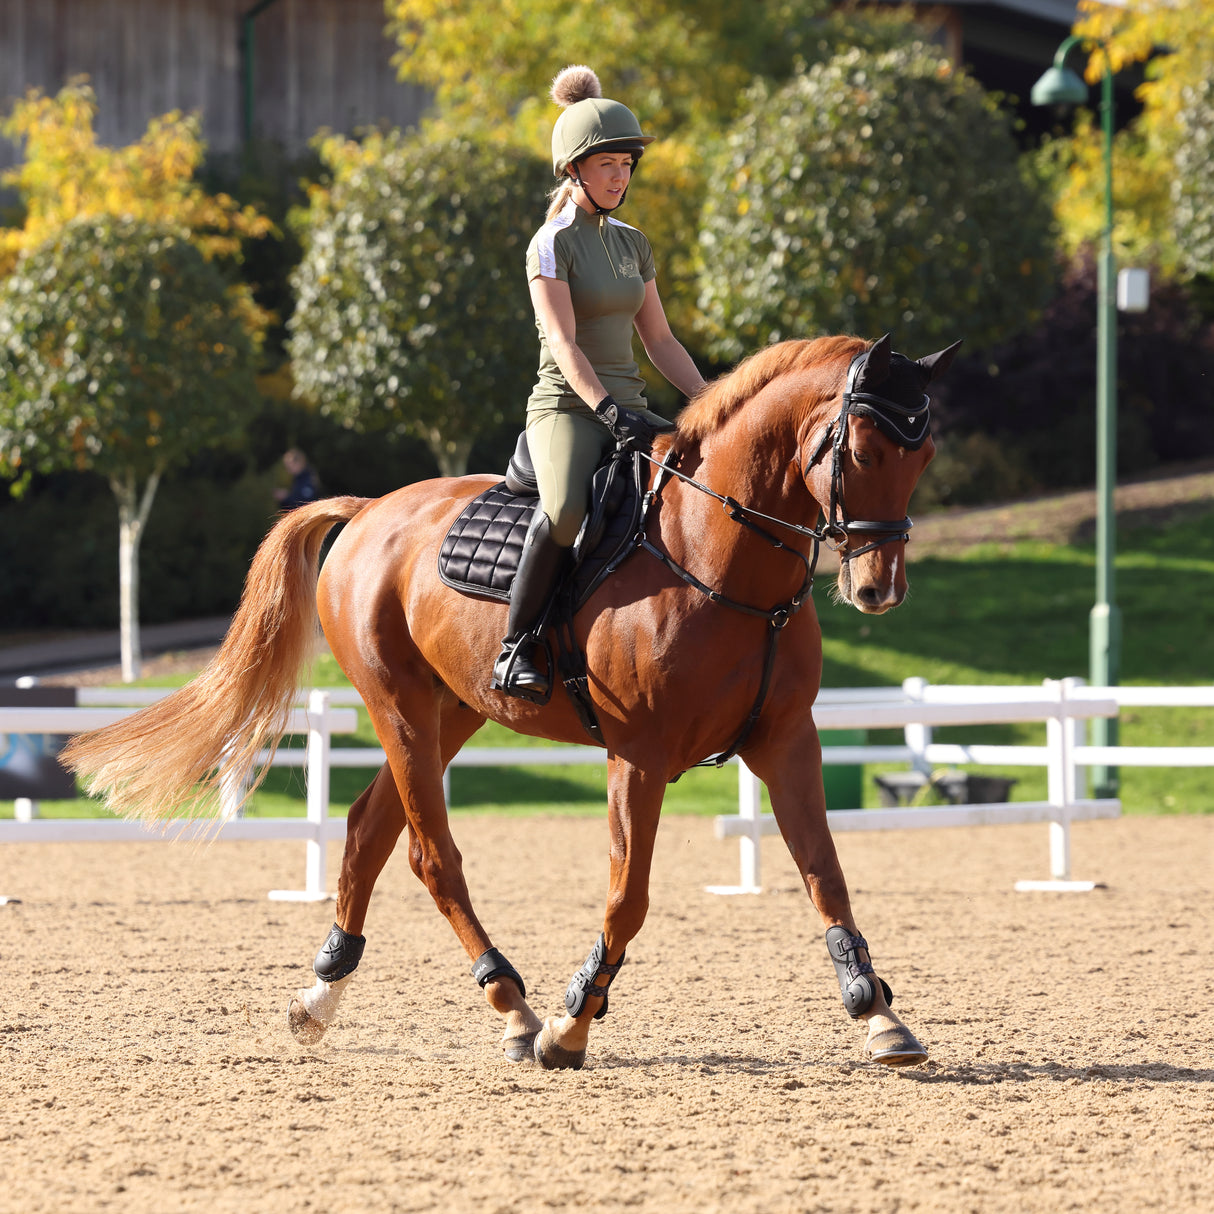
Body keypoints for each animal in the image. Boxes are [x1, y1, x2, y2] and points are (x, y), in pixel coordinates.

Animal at [64, 332, 956, 1073]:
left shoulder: (787, 742)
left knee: (368, 828)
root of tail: (368, 509)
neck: (718, 559)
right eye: (864, 448)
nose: (879, 589)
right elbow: (627, 897)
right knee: (430, 855)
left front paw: (879, 1016)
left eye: (923, 457)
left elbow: (826, 875)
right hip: (399, 709)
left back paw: (321, 996)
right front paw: (571, 1025)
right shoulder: (639, 755)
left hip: (451, 712)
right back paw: (513, 1006)